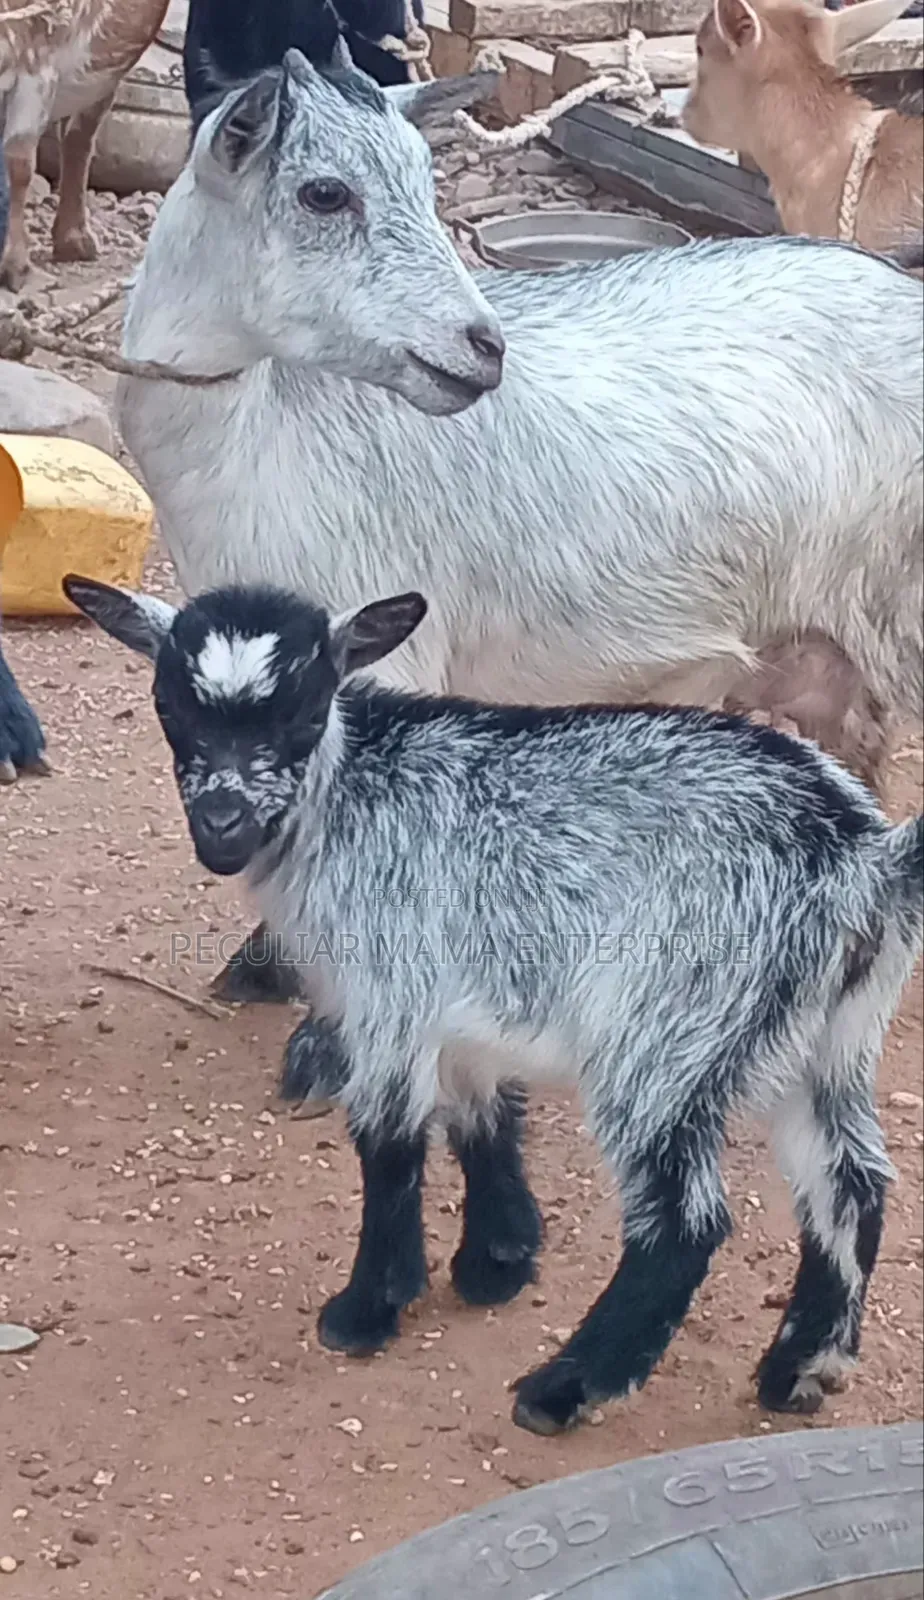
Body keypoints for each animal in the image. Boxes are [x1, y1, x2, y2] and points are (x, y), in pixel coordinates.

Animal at [65, 572, 924, 1435]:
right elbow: (485, 1117)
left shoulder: (389, 995)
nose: (222, 825)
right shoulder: (463, 1009)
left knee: (686, 1222)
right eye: (169, 705)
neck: (349, 793)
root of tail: (861, 857)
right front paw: (496, 1264)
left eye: (306, 711)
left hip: (665, 1035)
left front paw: (367, 1309)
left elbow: (389, 1141)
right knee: (851, 1182)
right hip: (823, 1041)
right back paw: (800, 1369)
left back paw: (568, 1386)